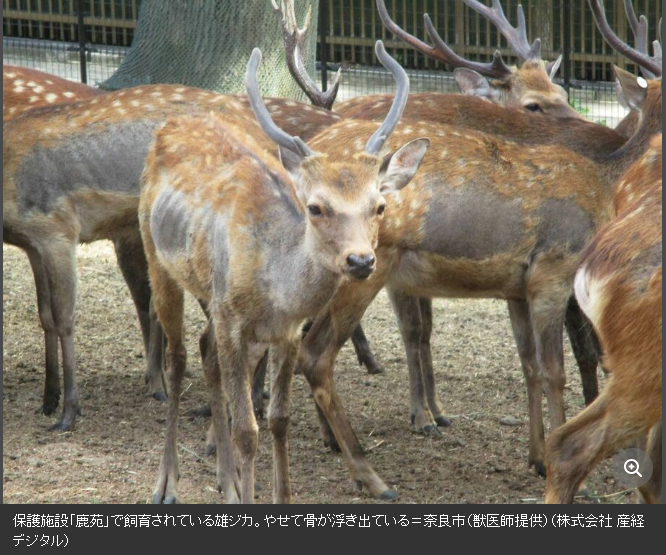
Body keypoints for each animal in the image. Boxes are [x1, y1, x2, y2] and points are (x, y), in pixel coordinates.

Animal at [141, 41, 428, 504]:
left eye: (380, 206)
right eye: (315, 207)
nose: (361, 261)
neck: (275, 289)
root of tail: (173, 122)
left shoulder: (286, 331)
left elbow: (278, 419)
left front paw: (273, 494)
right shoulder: (232, 319)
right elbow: (247, 430)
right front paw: (245, 493)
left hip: (213, 300)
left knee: (205, 351)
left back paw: (225, 479)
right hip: (157, 258)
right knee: (178, 357)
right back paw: (168, 482)